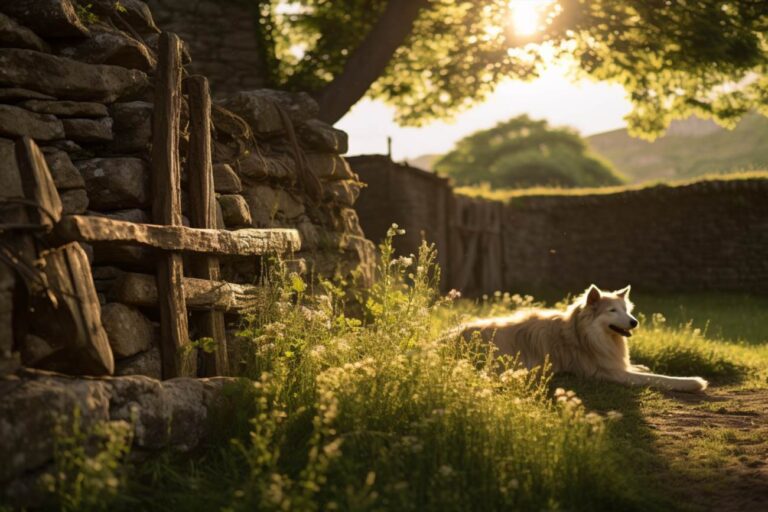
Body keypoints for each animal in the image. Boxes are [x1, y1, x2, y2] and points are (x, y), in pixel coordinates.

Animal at [456, 284, 708, 392]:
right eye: (612, 311)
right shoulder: (608, 373)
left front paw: (642, 365)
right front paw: (693, 382)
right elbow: (658, 378)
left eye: (626, 310)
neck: (582, 335)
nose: (635, 322)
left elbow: (639, 368)